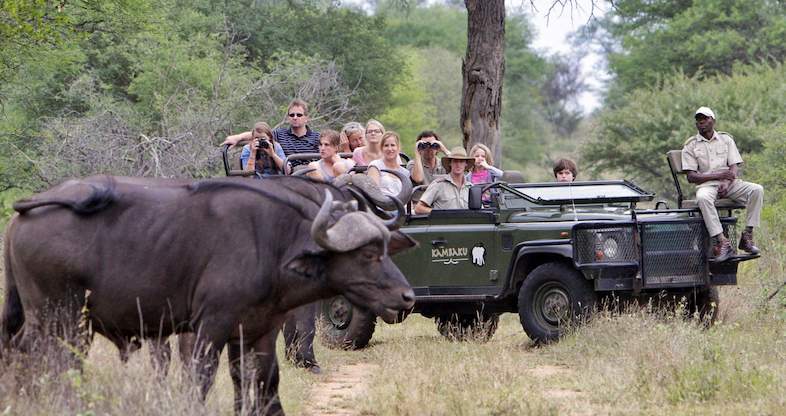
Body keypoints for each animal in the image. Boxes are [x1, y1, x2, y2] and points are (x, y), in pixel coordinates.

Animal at [1, 174, 416, 414]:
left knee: (19, 354)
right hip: (61, 320)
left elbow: (261, 383)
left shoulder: (258, 331)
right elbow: (199, 382)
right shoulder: (209, 328)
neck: (270, 242)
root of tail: (24, 212)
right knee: (53, 363)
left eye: (384, 246)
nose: (407, 297)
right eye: (367, 253)